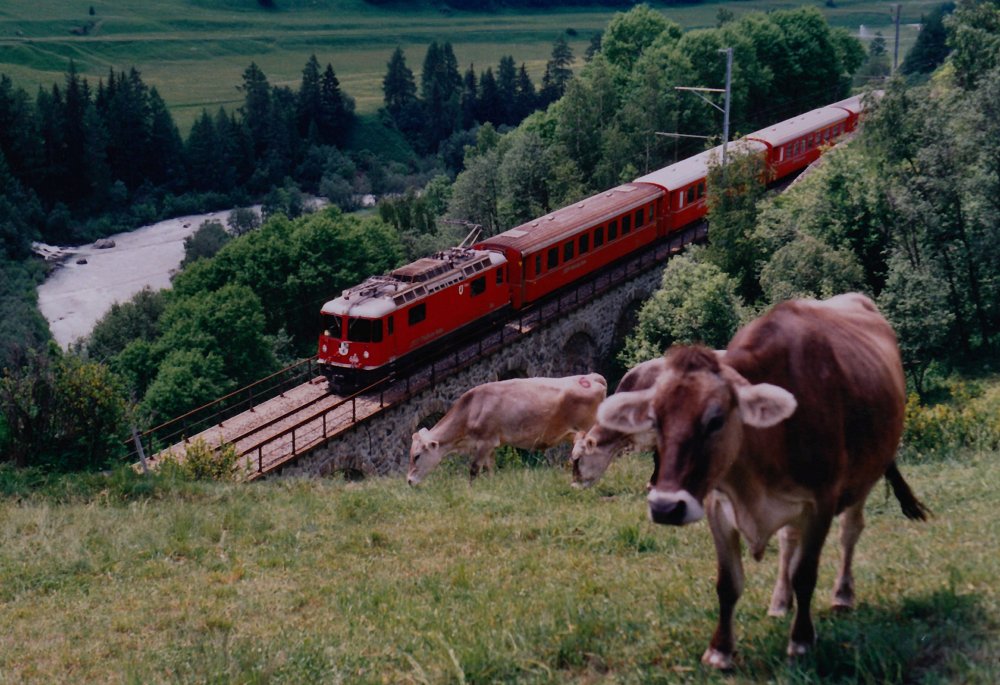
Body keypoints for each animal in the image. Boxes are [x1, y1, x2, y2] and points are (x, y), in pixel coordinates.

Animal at [406, 374, 608, 486]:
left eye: (416, 456)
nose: (408, 480)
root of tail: (590, 378)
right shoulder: (490, 445)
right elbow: (489, 468)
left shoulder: (485, 442)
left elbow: (474, 470)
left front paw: (470, 491)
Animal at [592, 294, 928, 668]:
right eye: (655, 420)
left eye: (716, 420)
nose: (665, 508)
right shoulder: (717, 505)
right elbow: (728, 583)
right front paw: (720, 650)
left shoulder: (822, 500)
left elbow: (805, 574)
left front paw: (801, 641)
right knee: (788, 538)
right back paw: (780, 601)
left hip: (864, 475)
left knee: (850, 531)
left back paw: (842, 595)